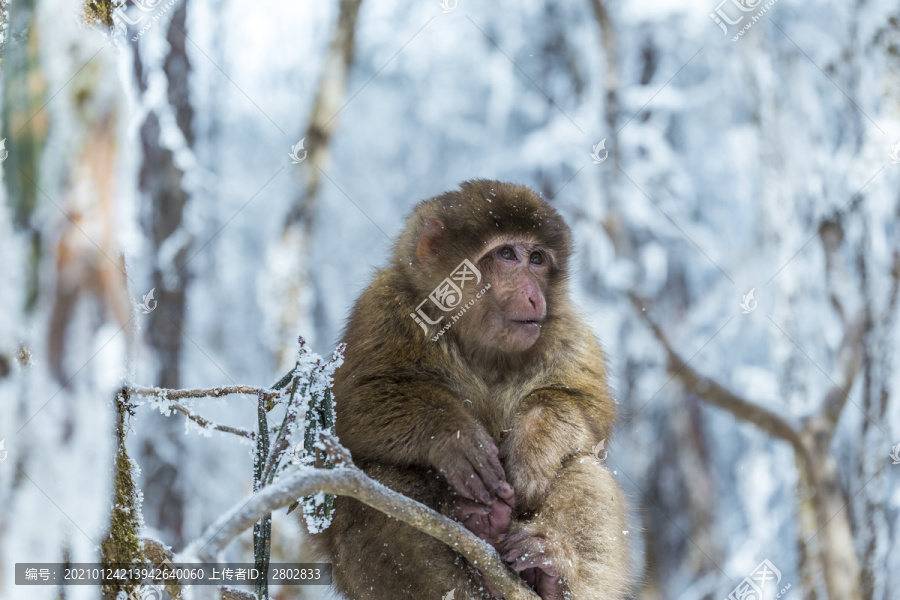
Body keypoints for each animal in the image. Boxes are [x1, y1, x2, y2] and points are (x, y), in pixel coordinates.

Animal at [310, 180, 632, 596]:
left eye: (538, 259)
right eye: (508, 254)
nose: (534, 295)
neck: (484, 350)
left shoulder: (567, 331)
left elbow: (586, 406)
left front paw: (533, 441)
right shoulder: (383, 308)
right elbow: (353, 404)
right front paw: (454, 436)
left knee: (580, 464)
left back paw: (550, 572)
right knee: (375, 482)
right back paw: (482, 551)